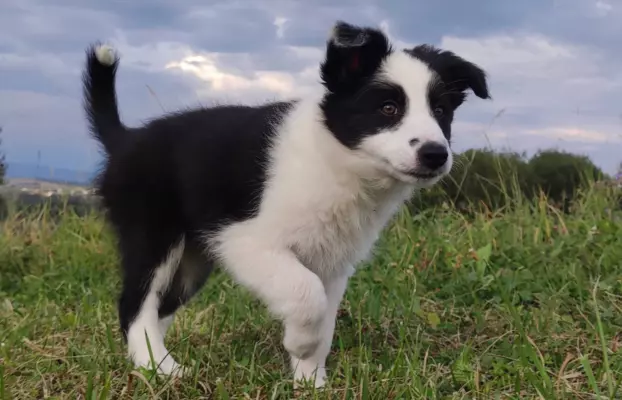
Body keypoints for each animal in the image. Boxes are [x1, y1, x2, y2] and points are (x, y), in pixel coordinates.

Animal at [83, 19, 492, 388]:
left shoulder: (332, 263)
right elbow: (306, 294)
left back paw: (159, 358)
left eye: (441, 111)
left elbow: (325, 317)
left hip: (192, 261)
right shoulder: (247, 240)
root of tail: (125, 139)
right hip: (153, 234)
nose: (435, 154)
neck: (334, 160)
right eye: (389, 108)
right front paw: (300, 345)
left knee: (160, 308)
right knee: (135, 306)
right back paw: (159, 367)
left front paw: (310, 380)